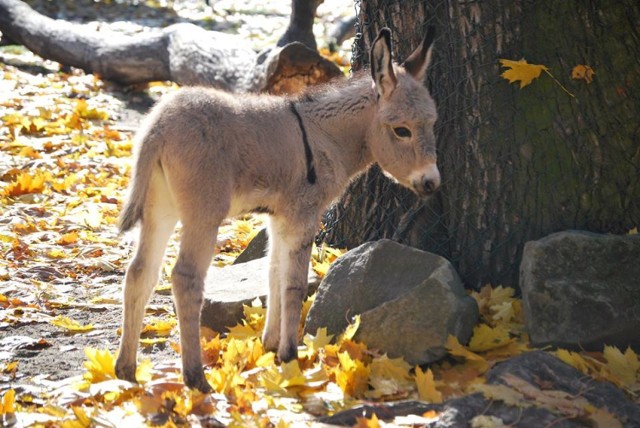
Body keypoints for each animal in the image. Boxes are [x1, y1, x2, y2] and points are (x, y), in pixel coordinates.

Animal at [115, 26, 440, 392]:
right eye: (401, 130)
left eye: (433, 124)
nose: (432, 183)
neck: (325, 137)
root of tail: (158, 126)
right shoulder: (304, 215)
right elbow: (293, 284)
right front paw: (290, 355)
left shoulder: (278, 217)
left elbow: (272, 273)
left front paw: (270, 345)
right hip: (204, 212)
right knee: (185, 277)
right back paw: (196, 378)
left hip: (160, 208)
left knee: (140, 272)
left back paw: (126, 369)